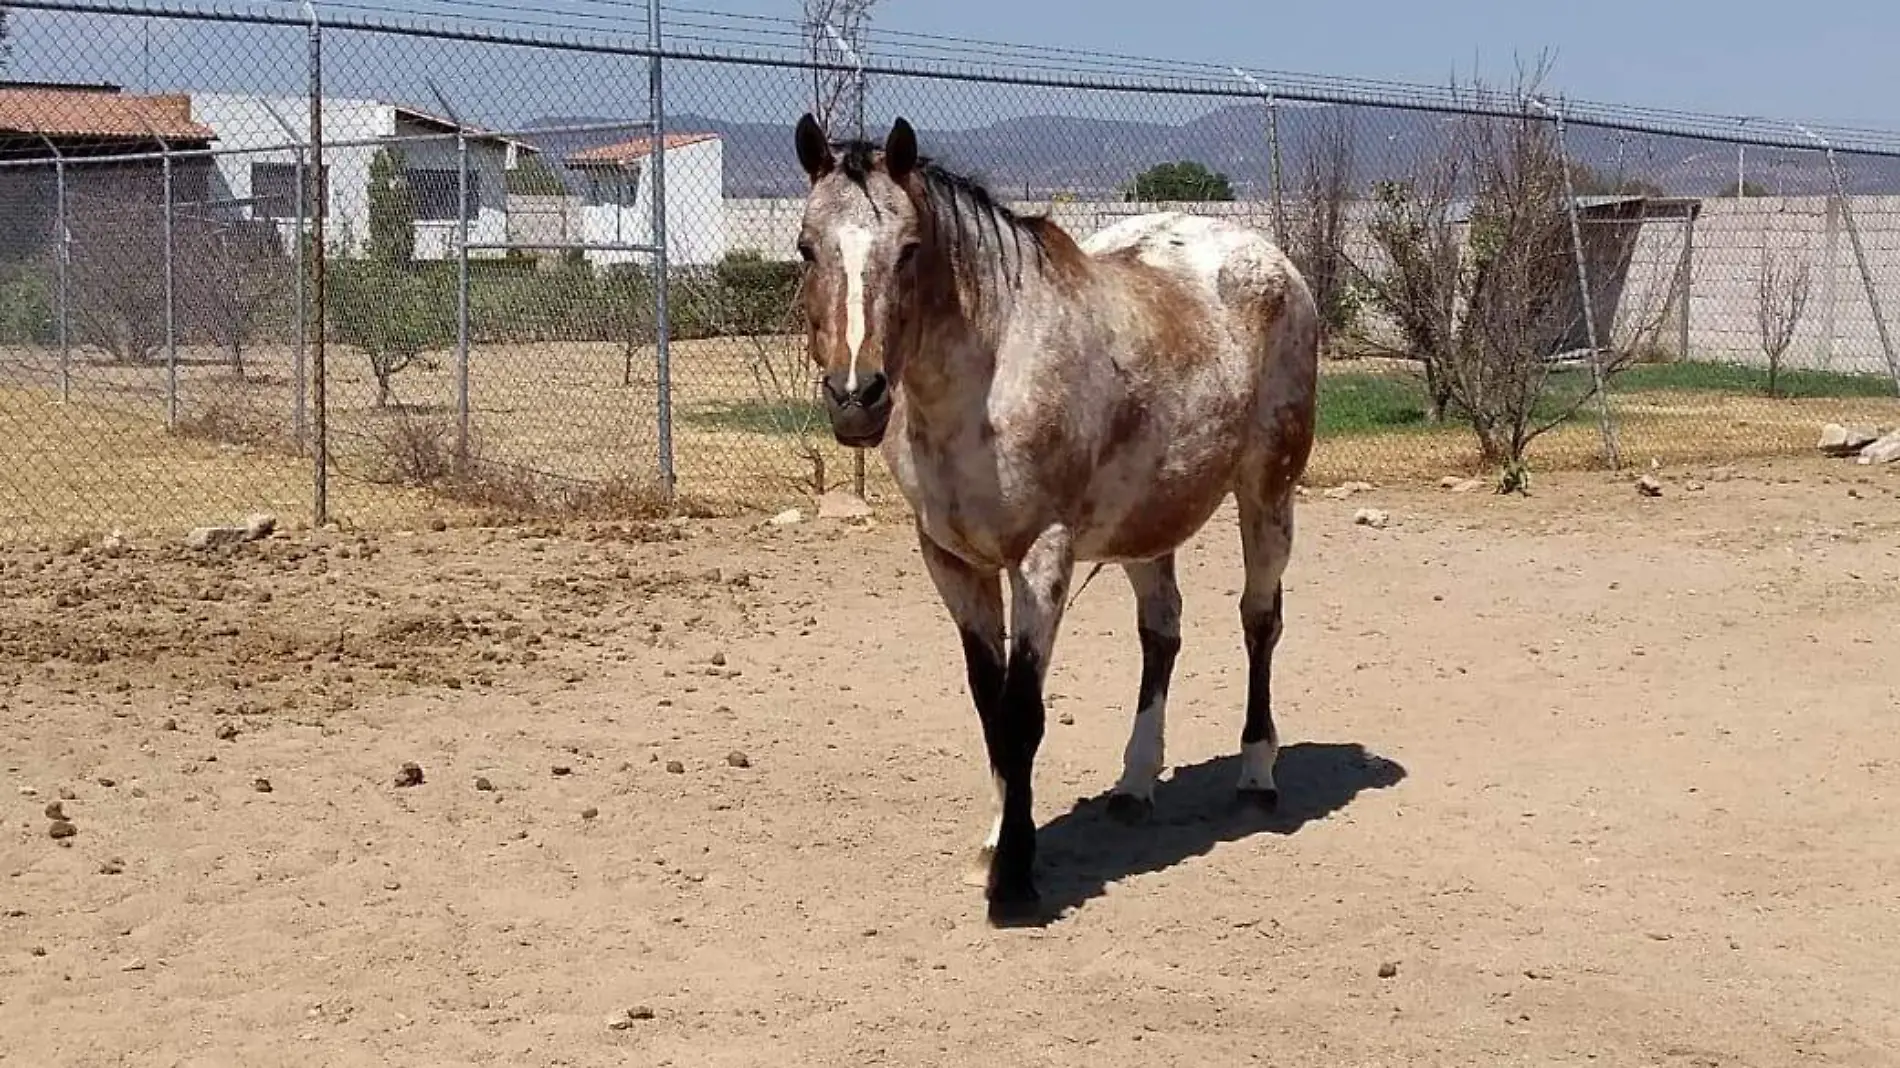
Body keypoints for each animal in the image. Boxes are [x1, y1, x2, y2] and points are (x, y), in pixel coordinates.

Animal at [794, 112, 1314, 919]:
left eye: (909, 250)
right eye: (805, 246)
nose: (857, 397)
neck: (986, 381)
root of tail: (1269, 260)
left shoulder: (1043, 558)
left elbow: (1023, 713)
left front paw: (1015, 878)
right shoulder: (952, 561)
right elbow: (990, 709)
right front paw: (994, 847)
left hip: (1268, 493)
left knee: (1260, 620)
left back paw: (1257, 774)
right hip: (1145, 522)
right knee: (1161, 633)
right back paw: (1134, 784)